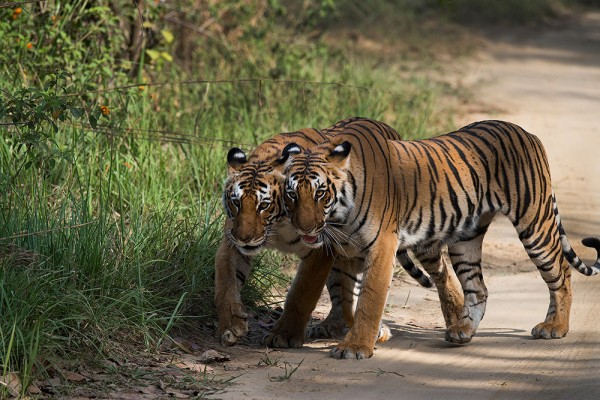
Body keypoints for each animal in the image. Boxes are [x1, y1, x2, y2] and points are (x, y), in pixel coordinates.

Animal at [216, 116, 432, 346]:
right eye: (236, 202)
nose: (244, 238)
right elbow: (225, 280)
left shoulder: (320, 249)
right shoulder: (232, 242)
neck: (277, 226)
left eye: (263, 205)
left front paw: (284, 335)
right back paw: (329, 326)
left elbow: (302, 292)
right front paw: (231, 325)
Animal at [264, 119, 600, 360]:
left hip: (535, 223)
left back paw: (555, 327)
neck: (338, 216)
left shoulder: (382, 246)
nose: (304, 228)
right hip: (466, 240)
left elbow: (369, 299)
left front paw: (356, 347)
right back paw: (463, 330)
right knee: (477, 287)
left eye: (320, 192)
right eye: (292, 194)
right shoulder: (346, 250)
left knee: (561, 272)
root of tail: (526, 132)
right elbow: (345, 294)